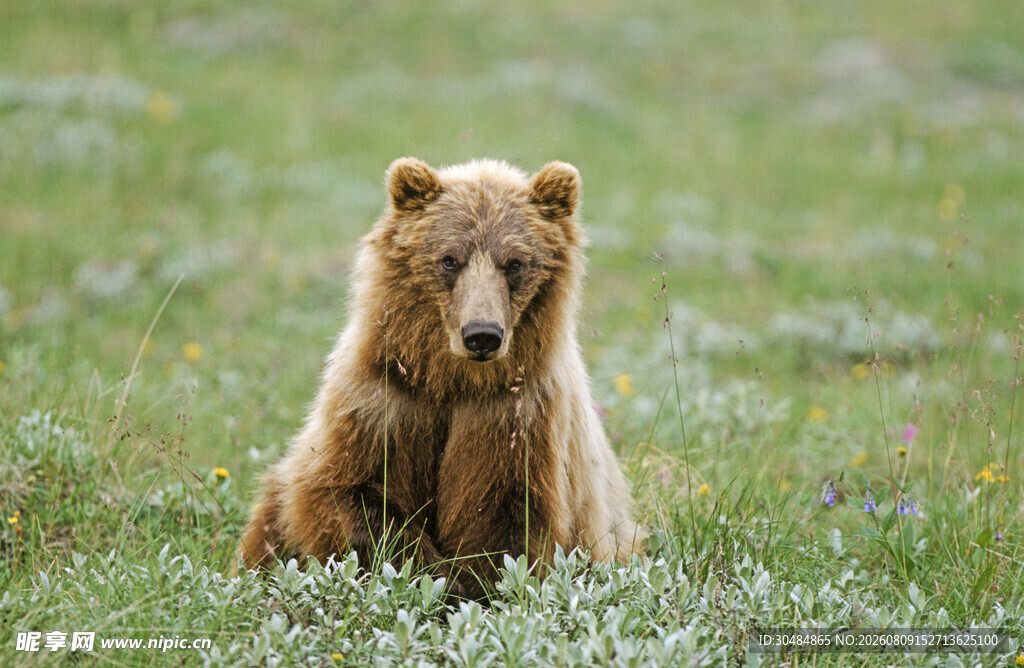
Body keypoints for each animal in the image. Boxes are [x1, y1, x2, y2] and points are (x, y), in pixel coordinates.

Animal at [240, 157, 643, 598]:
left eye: (514, 263)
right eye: (450, 259)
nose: (481, 334)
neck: (451, 379)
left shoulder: (514, 416)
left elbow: (502, 517)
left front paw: (473, 583)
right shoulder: (386, 401)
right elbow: (350, 492)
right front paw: (435, 576)